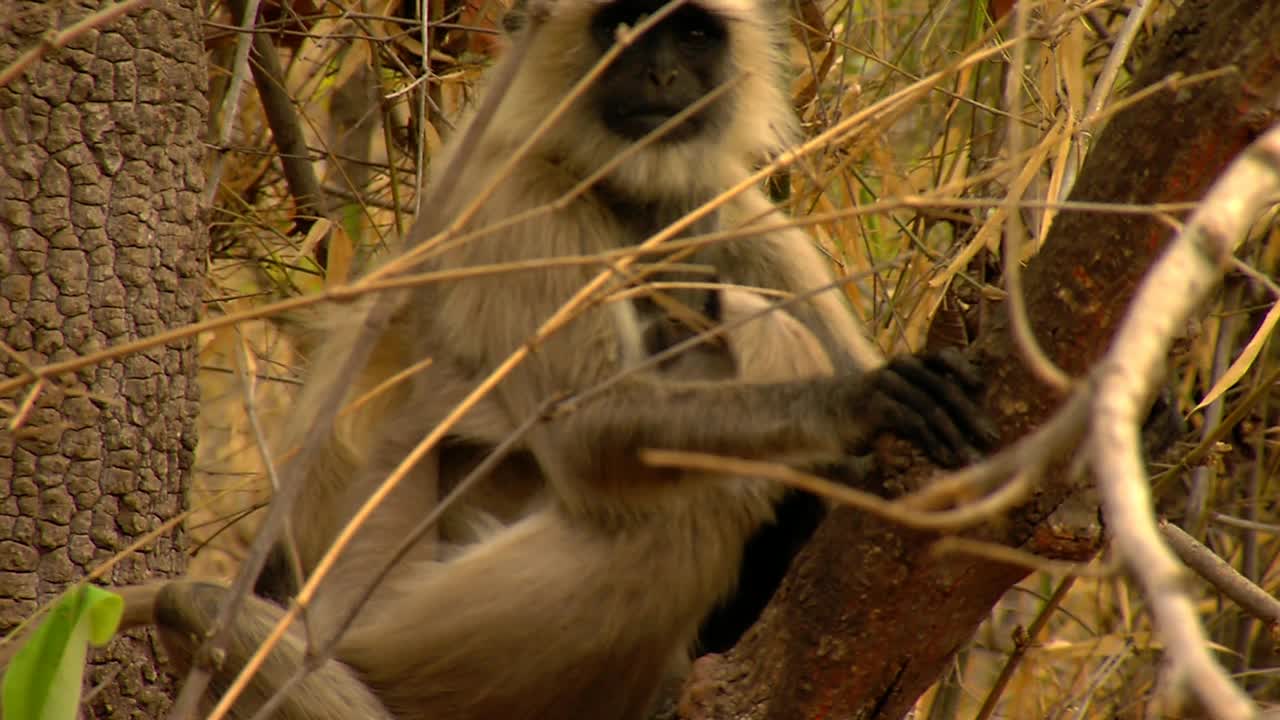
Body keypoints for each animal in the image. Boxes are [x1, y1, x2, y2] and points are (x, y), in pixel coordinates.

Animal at [110, 1, 998, 717]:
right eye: (622, 26)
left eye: (693, 33)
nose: (662, 73)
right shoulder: (524, 203)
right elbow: (587, 434)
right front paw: (854, 402)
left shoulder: (738, 217)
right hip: (392, 629)